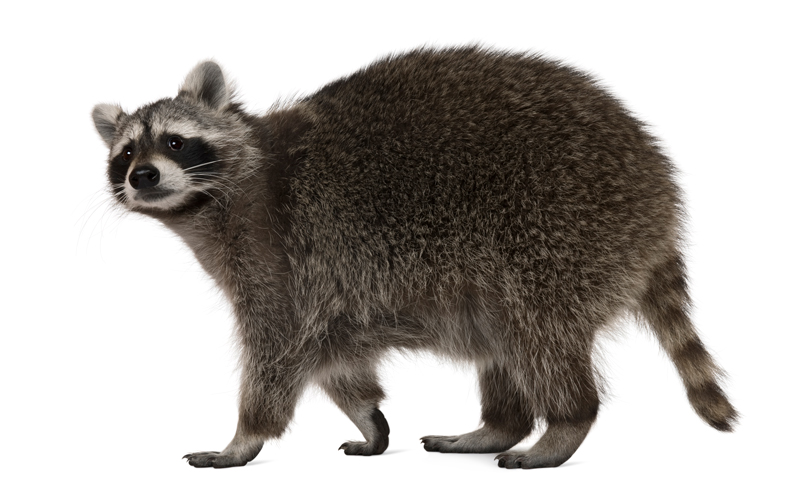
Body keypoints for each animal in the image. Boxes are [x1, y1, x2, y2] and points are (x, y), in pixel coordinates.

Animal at [92, 47, 737, 469]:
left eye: (174, 141)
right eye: (125, 153)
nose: (142, 175)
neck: (212, 202)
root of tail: (657, 192)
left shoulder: (277, 253)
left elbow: (280, 348)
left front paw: (244, 438)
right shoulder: (326, 287)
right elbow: (336, 356)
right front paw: (367, 418)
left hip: (562, 231)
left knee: (540, 330)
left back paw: (565, 423)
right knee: (504, 339)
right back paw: (499, 426)